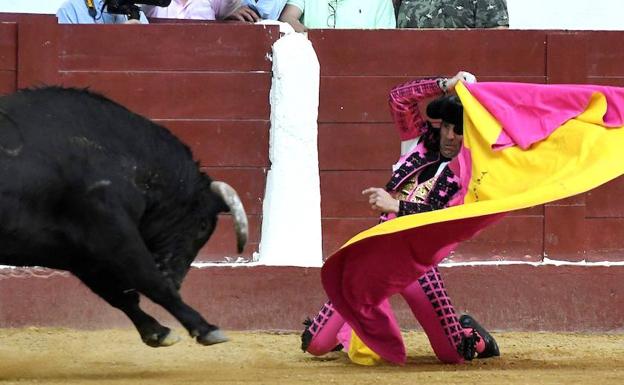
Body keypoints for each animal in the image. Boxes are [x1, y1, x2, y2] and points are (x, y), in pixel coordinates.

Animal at [0, 86, 249, 344]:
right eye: (202, 226)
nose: (176, 280)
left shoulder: (79, 254)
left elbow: (120, 294)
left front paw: (157, 332)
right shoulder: (114, 236)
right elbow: (151, 282)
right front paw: (206, 328)